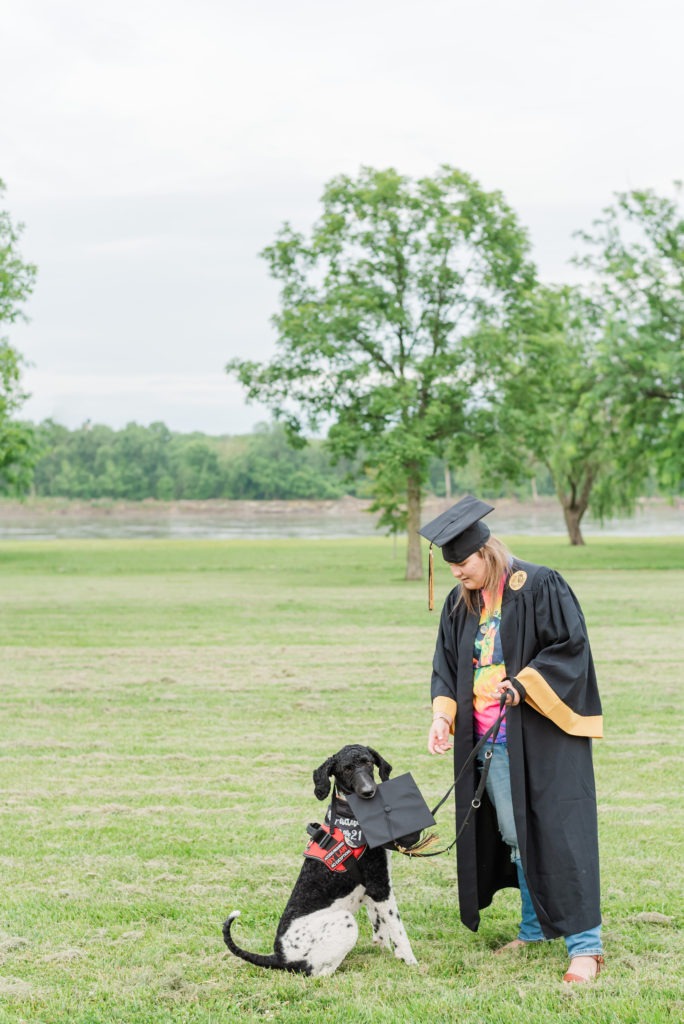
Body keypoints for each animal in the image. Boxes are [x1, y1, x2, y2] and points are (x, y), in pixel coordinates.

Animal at [222, 745, 419, 974]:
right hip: (344, 921)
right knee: (319, 973)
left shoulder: (371, 887)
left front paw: (382, 950)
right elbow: (397, 929)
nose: (368, 791)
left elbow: (380, 926)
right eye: (346, 768)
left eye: (368, 762)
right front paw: (410, 960)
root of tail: (280, 957)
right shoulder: (380, 885)